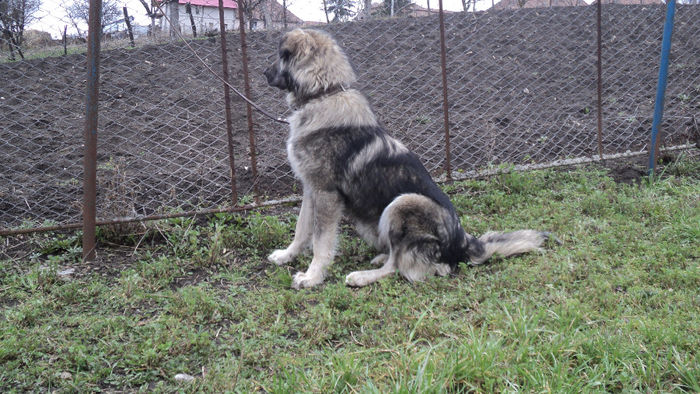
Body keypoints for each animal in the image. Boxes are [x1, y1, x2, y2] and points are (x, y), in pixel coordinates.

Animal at [262, 26, 548, 288]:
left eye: (280, 56)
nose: (264, 74)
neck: (324, 92)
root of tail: (463, 243)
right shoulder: (311, 189)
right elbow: (302, 229)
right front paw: (287, 256)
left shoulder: (326, 194)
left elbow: (321, 242)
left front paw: (312, 277)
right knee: (402, 260)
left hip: (403, 202)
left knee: (403, 267)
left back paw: (363, 276)